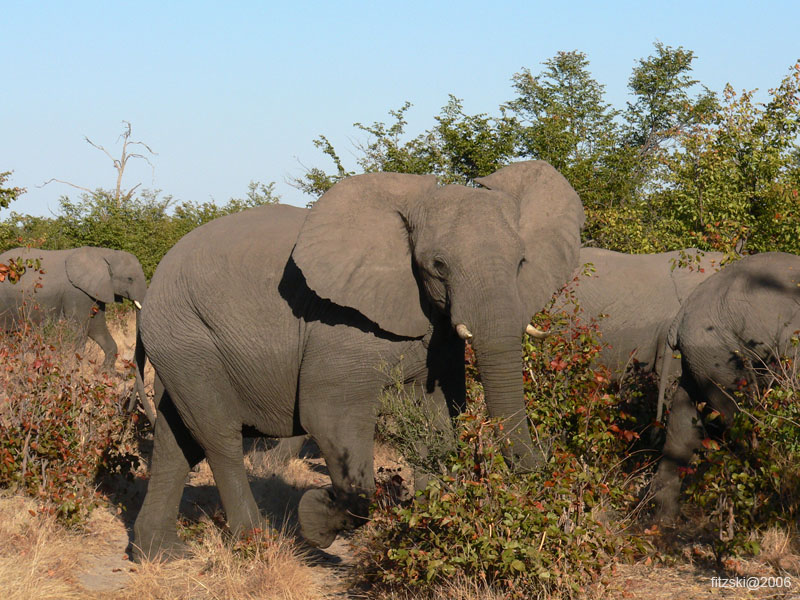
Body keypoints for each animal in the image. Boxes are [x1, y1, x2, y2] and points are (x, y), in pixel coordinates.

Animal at [0, 246, 147, 372]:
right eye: (129, 279)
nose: (128, 373)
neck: (103, 253)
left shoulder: (94, 292)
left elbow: (97, 327)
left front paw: (104, 373)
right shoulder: (77, 293)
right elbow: (79, 330)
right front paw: (74, 368)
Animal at [130, 161, 580, 556]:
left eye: (521, 262)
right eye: (438, 265)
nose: (544, 455)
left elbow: (438, 417)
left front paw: (427, 525)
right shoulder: (340, 326)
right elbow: (331, 417)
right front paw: (315, 519)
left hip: (181, 340)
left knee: (176, 437)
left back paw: (160, 554)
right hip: (186, 334)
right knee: (217, 435)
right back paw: (255, 544)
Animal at [648, 251, 800, 516]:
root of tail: (679, 317)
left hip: (698, 359)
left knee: (683, 432)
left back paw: (662, 521)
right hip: (716, 353)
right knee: (740, 417)